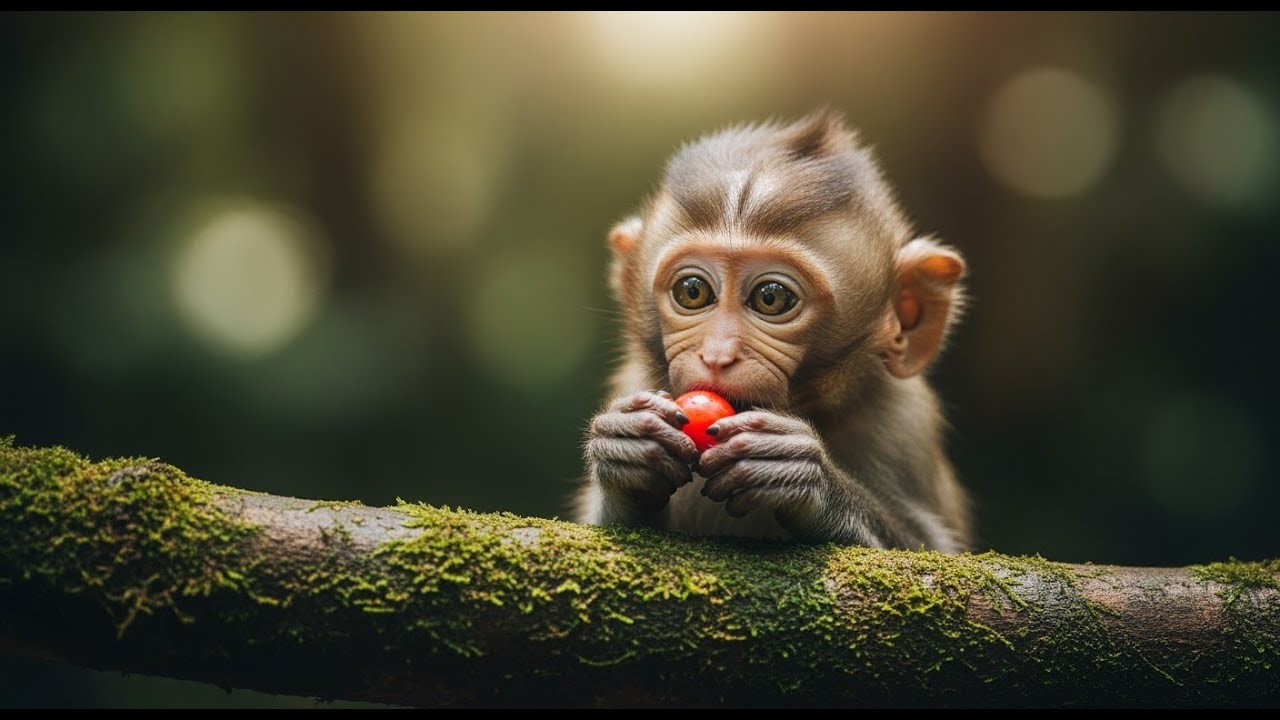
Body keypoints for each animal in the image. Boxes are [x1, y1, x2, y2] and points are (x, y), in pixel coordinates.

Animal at [576, 110, 970, 552]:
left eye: (771, 298)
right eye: (692, 292)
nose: (717, 355)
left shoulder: (905, 420)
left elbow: (933, 551)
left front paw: (803, 475)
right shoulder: (634, 381)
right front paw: (626, 447)